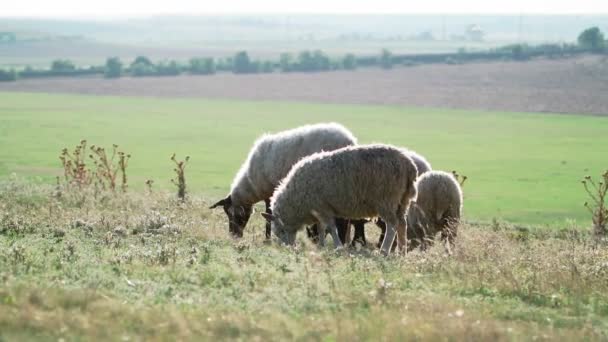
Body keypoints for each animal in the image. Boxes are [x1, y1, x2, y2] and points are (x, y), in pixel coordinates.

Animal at [209, 122, 356, 238]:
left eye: (230, 214)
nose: (234, 236)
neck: (251, 184)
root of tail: (349, 139)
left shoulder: (270, 192)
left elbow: (268, 214)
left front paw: (267, 239)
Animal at [262, 144, 418, 254]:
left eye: (280, 231)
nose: (287, 249)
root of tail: (409, 165)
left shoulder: (323, 207)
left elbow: (331, 228)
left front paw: (337, 247)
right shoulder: (319, 210)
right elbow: (321, 228)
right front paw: (322, 246)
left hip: (386, 199)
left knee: (392, 226)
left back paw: (384, 251)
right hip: (402, 201)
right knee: (402, 224)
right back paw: (401, 253)